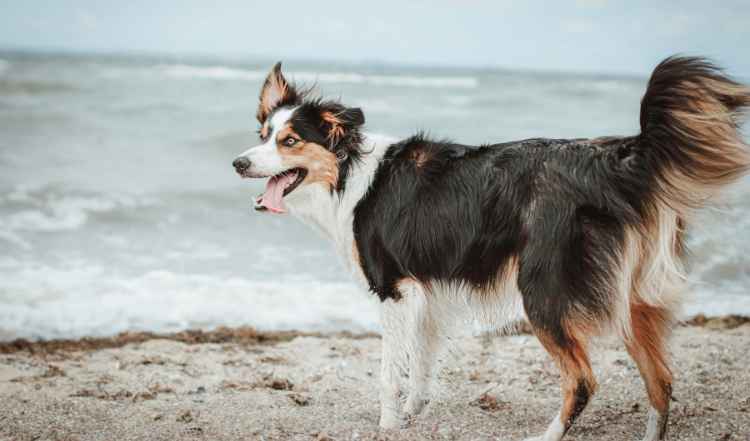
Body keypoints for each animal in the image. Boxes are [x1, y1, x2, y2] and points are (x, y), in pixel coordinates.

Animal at [232, 58, 748, 440]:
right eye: (262, 136)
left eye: (290, 141)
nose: (238, 163)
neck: (349, 175)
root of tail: (613, 160)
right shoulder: (427, 293)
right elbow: (421, 361)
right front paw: (415, 411)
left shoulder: (394, 289)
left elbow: (389, 372)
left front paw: (389, 423)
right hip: (635, 298)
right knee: (661, 382)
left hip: (543, 293)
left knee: (583, 380)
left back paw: (548, 434)